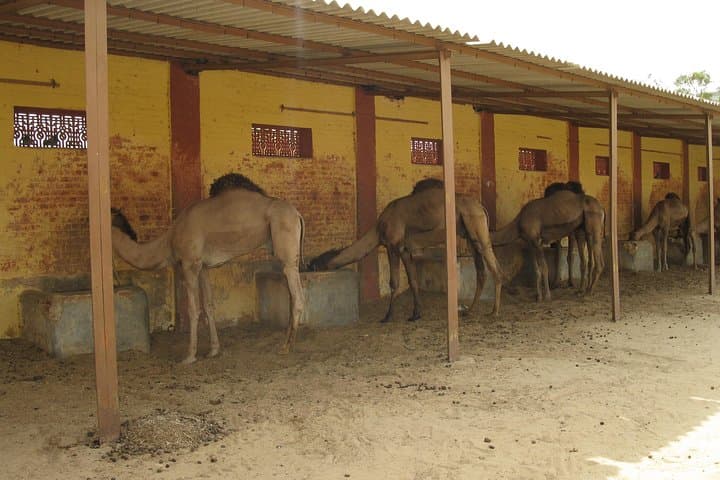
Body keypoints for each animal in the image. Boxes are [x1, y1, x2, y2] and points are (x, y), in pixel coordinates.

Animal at [110, 173, 305, 364]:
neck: (169, 240)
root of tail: (297, 214)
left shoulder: (190, 263)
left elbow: (193, 309)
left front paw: (189, 356)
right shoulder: (203, 266)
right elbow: (209, 305)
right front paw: (213, 350)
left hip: (285, 242)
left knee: (297, 295)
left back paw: (286, 347)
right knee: (293, 295)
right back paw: (290, 343)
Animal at [308, 178, 504, 322]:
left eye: (312, 266)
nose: (307, 270)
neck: (379, 227)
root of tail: (480, 206)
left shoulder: (393, 246)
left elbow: (394, 282)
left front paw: (387, 316)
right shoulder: (405, 250)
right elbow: (413, 280)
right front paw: (416, 314)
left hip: (476, 225)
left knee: (495, 268)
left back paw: (494, 312)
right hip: (469, 234)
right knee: (481, 271)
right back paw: (469, 311)